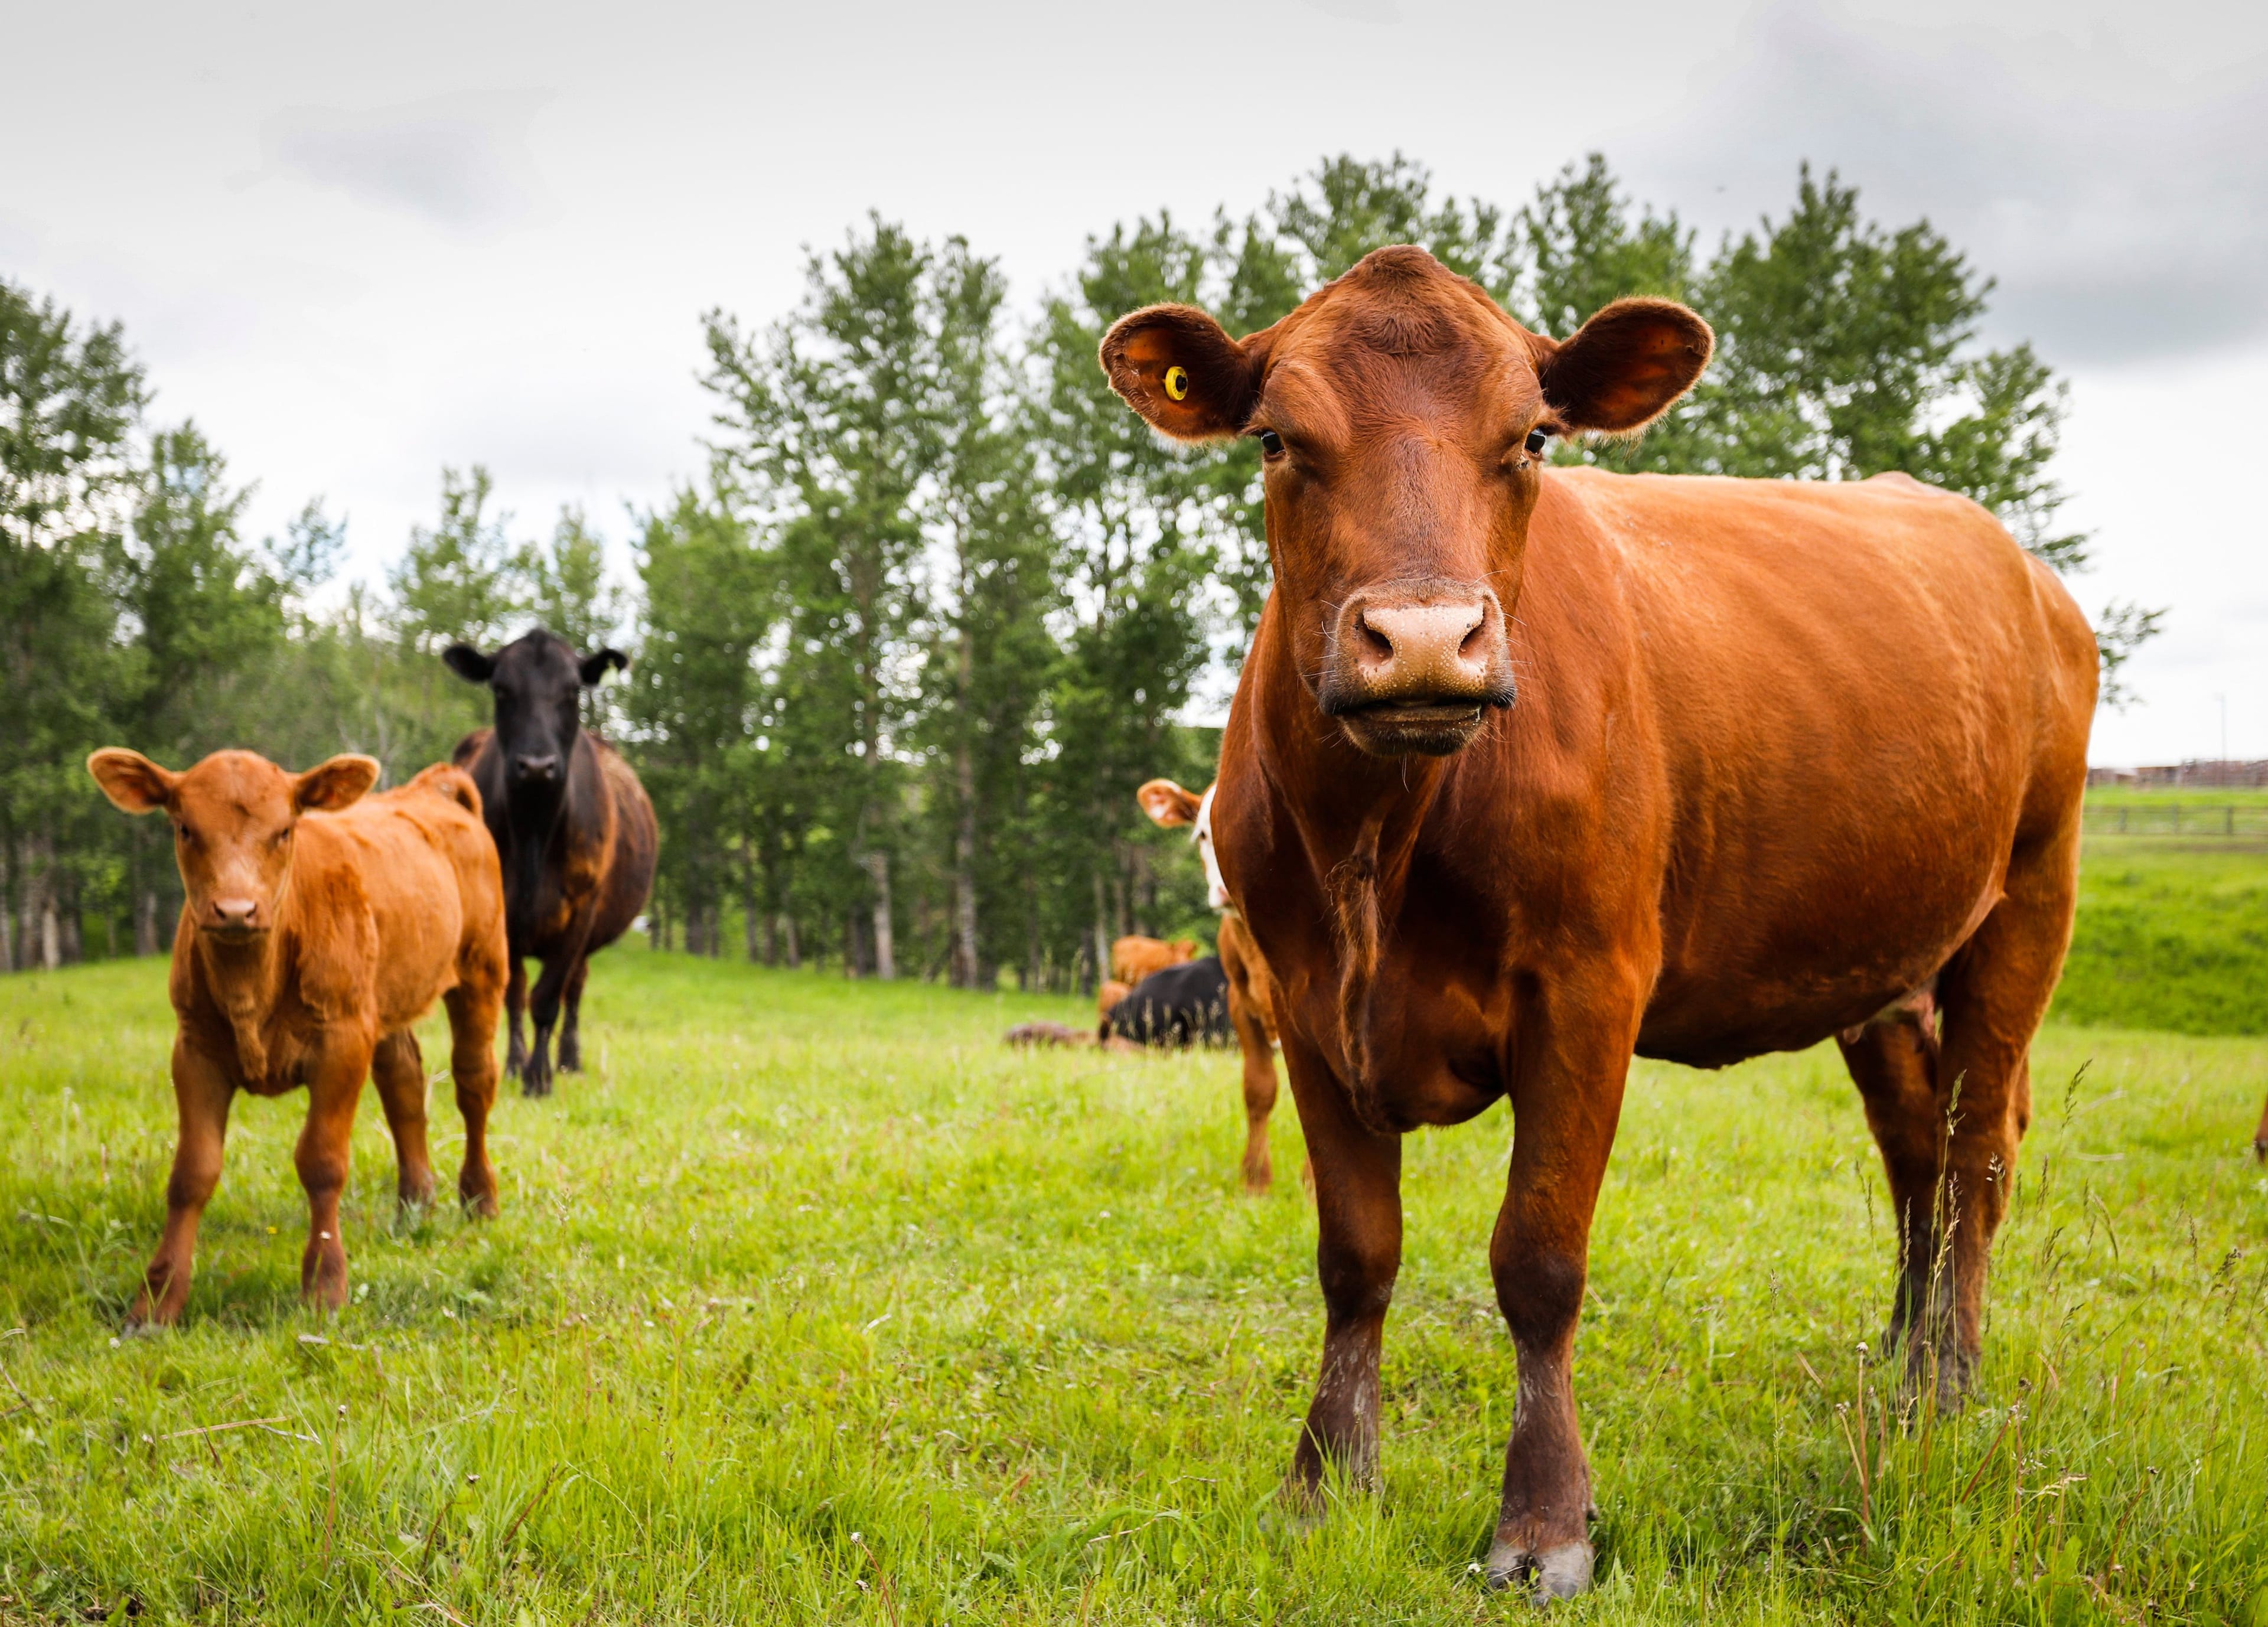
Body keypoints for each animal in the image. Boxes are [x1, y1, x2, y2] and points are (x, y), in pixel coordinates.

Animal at [86, 748, 507, 1326]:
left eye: (285, 830)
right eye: (186, 828)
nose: (235, 909)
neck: (250, 986)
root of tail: (430, 789)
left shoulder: (342, 1043)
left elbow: (322, 1162)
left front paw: (325, 1286)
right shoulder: (194, 1049)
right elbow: (192, 1171)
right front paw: (156, 1301)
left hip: (483, 969)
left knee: (473, 1081)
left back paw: (480, 1198)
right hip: (385, 995)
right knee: (403, 1082)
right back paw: (415, 1205)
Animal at [443, 630, 658, 1097]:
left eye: (572, 690)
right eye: (501, 689)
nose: (537, 765)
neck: (534, 835)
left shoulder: (581, 912)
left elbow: (547, 998)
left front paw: (539, 1076)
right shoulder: (501, 917)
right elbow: (515, 993)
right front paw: (514, 1065)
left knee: (574, 988)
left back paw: (569, 1060)